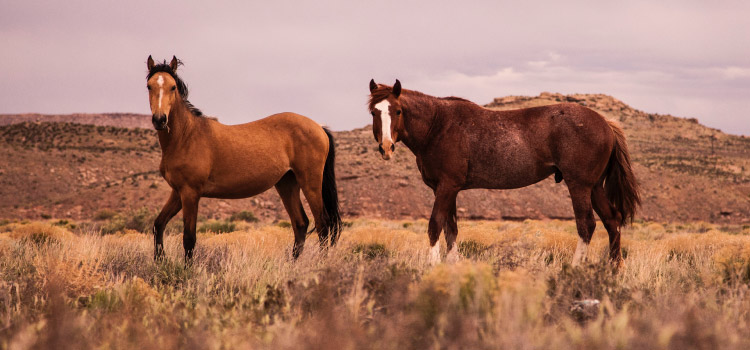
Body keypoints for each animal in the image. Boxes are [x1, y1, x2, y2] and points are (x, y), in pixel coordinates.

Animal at [145, 55, 344, 260]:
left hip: (310, 183)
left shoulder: (190, 193)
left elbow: (189, 238)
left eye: (172, 87)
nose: (160, 120)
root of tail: (319, 127)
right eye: (149, 86)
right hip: (287, 183)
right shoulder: (178, 192)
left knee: (323, 225)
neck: (186, 136)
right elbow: (158, 225)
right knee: (301, 223)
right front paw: (160, 260)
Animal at [368, 78, 640, 266]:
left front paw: (432, 266)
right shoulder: (448, 190)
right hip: (594, 187)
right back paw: (613, 269)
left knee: (587, 225)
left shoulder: (446, 187)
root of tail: (606, 124)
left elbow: (435, 225)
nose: (386, 147)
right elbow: (451, 229)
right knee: (612, 220)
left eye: (398, 111)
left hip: (580, 186)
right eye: (373, 112)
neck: (438, 126)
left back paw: (575, 268)